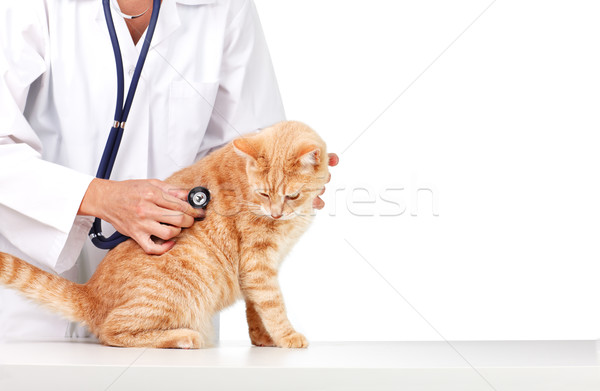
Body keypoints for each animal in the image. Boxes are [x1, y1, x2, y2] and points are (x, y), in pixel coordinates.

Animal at [0, 120, 328, 350]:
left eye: (292, 196)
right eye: (264, 193)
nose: (275, 214)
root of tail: (90, 292)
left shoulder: (257, 269)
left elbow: (256, 308)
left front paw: (264, 338)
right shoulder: (258, 263)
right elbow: (272, 304)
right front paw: (287, 336)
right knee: (111, 331)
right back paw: (183, 337)